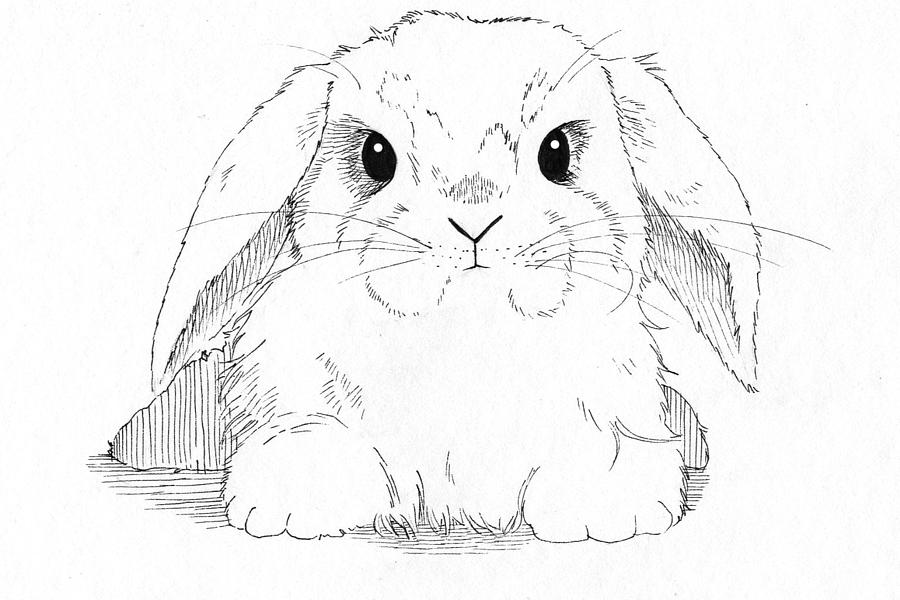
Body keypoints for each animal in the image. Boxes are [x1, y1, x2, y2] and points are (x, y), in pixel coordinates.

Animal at [142, 10, 760, 543]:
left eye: (557, 152)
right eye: (375, 155)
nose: (474, 220)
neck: (463, 347)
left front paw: (606, 503)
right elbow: (314, 429)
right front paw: (297, 495)